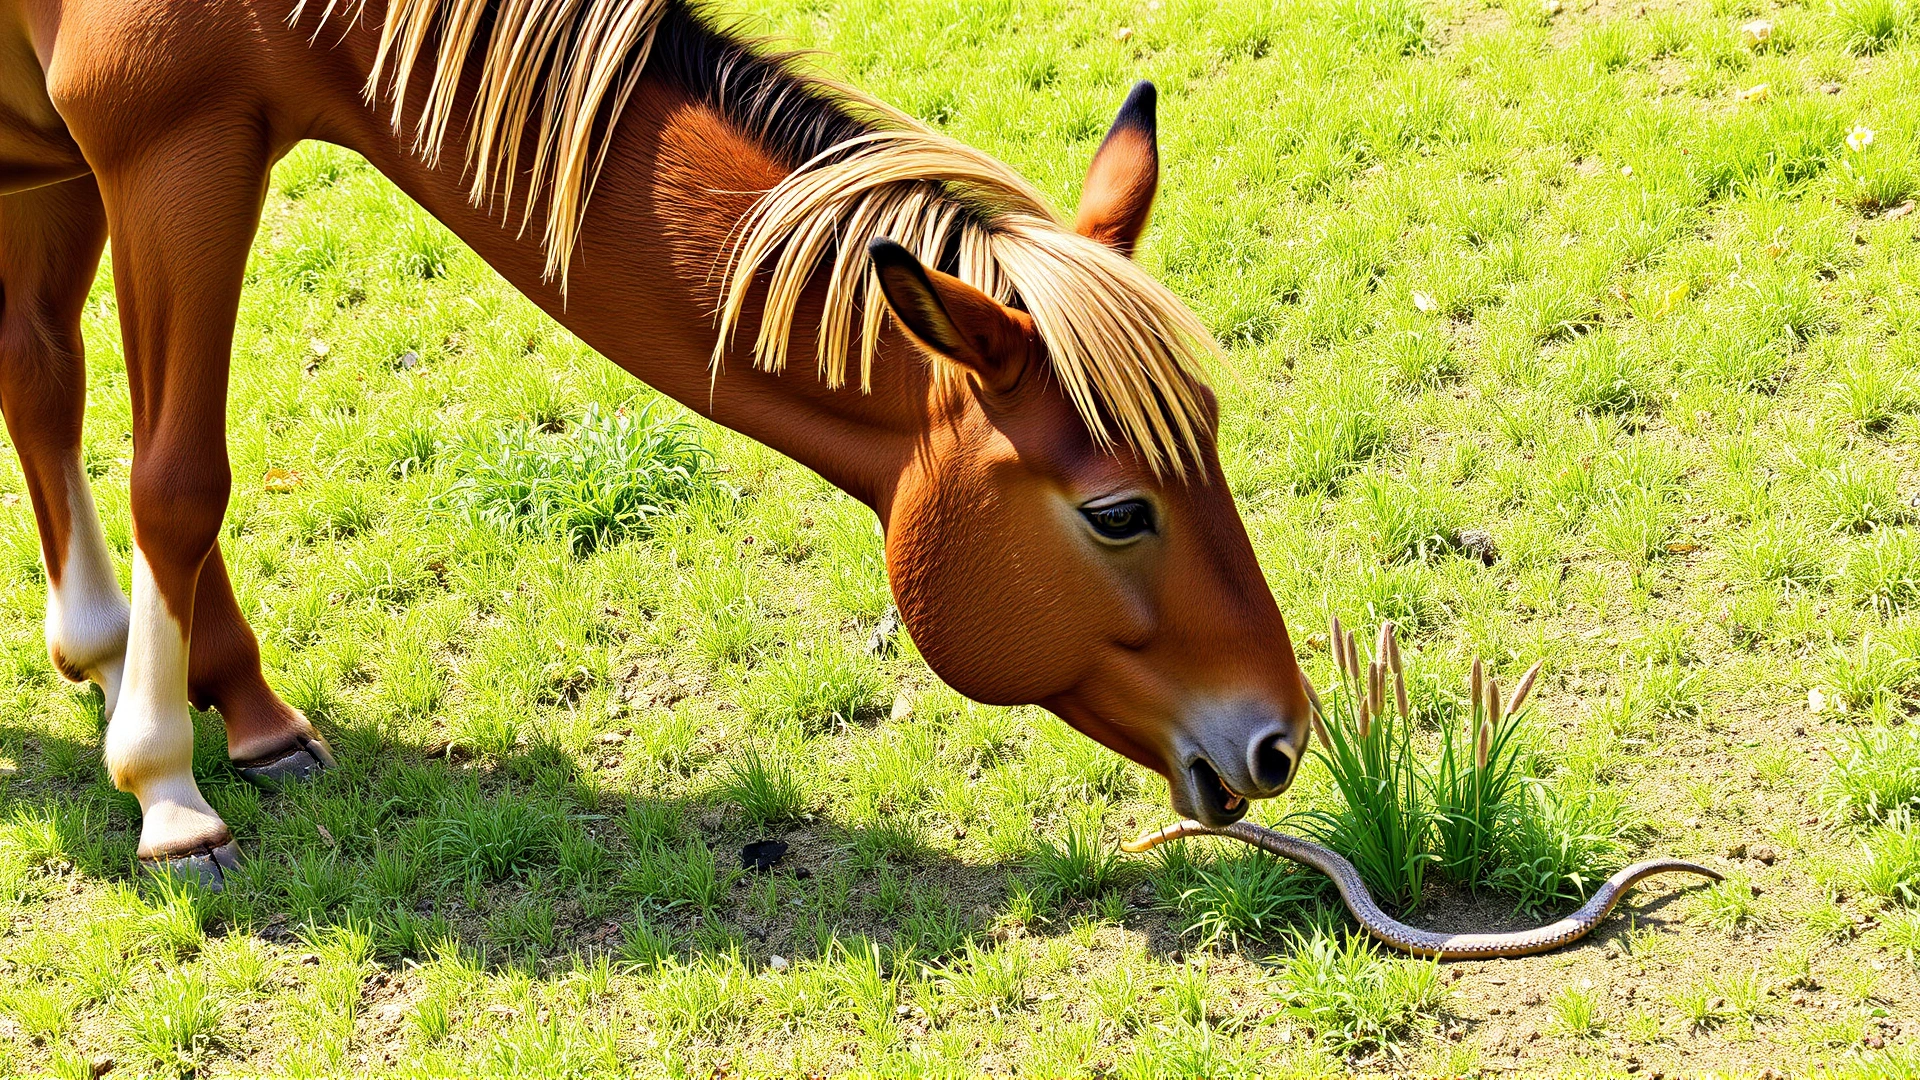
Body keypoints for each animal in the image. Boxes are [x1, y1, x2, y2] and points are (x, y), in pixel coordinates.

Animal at [0, 0, 1312, 886]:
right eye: (1118, 511)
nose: (1281, 738)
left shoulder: (128, 154)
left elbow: (143, 443)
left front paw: (244, 713)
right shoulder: (163, 149)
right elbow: (180, 476)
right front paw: (166, 790)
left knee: (39, 369)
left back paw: (105, 650)